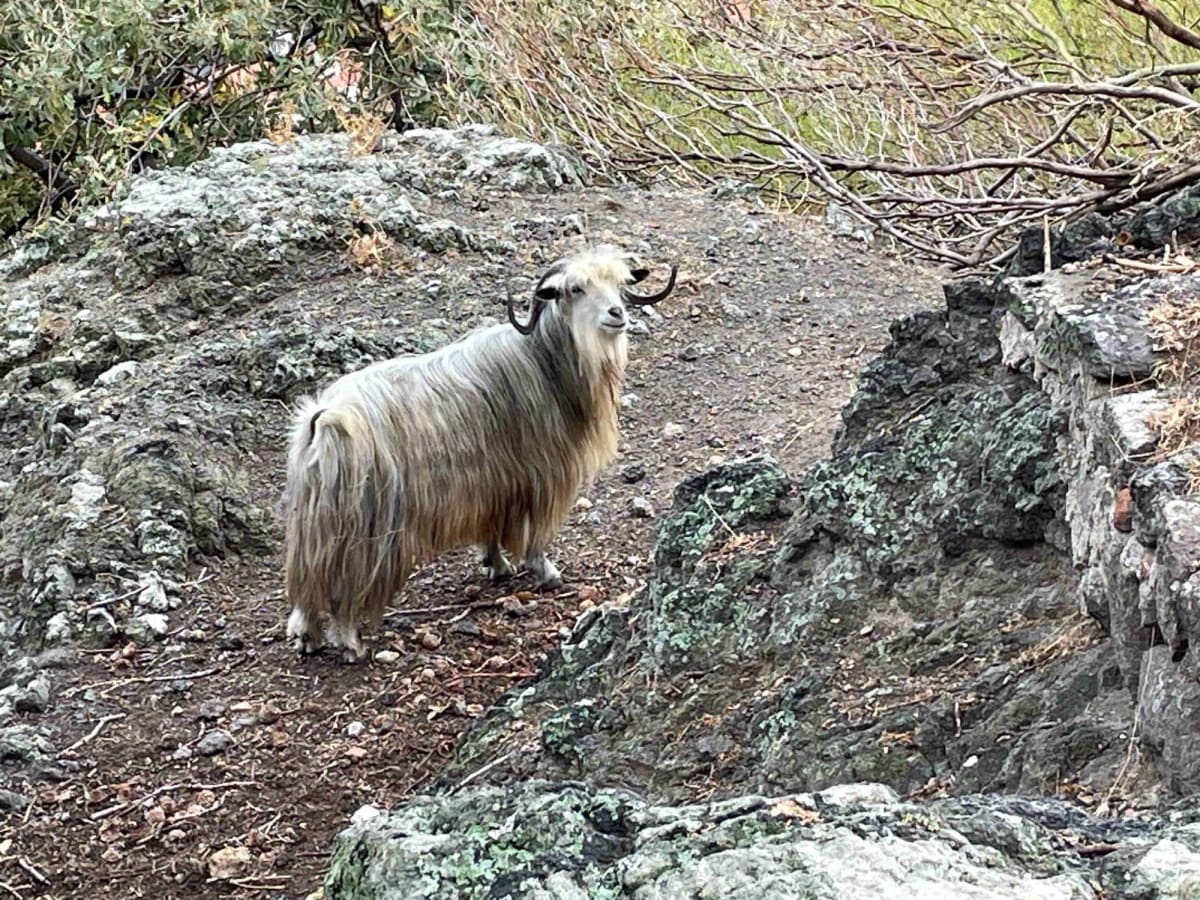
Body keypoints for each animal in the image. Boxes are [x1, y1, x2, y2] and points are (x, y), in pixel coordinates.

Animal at [279, 247, 676, 662]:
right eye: (575, 289)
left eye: (619, 283)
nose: (617, 313)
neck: (543, 360)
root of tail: (326, 419)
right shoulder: (542, 475)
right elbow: (534, 534)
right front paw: (546, 573)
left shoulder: (493, 482)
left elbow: (490, 528)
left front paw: (496, 565)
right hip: (363, 527)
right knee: (346, 585)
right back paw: (349, 642)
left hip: (315, 521)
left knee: (308, 578)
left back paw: (307, 635)